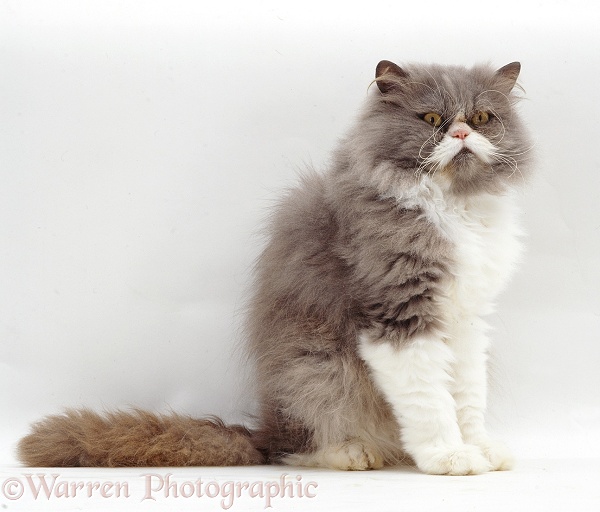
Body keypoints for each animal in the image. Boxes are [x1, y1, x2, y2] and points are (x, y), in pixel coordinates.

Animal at [17, 60, 536, 476]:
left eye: (483, 118)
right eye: (431, 119)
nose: (463, 134)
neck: (455, 208)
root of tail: (261, 429)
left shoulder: (466, 319)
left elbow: (466, 396)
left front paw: (479, 448)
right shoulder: (400, 311)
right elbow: (430, 400)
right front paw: (447, 456)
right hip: (316, 368)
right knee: (293, 446)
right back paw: (351, 452)